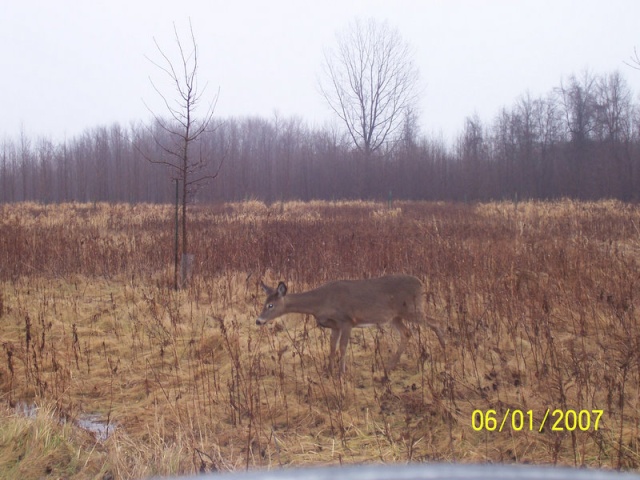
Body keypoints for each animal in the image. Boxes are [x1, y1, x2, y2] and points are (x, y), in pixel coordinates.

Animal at [255, 278, 444, 376]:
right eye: (264, 303)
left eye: (271, 305)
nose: (258, 320)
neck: (320, 303)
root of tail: (421, 284)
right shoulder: (334, 326)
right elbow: (332, 347)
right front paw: (329, 371)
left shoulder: (347, 321)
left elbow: (343, 347)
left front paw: (341, 373)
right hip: (395, 316)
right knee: (407, 333)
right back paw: (389, 368)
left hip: (412, 309)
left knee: (435, 322)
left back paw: (444, 348)